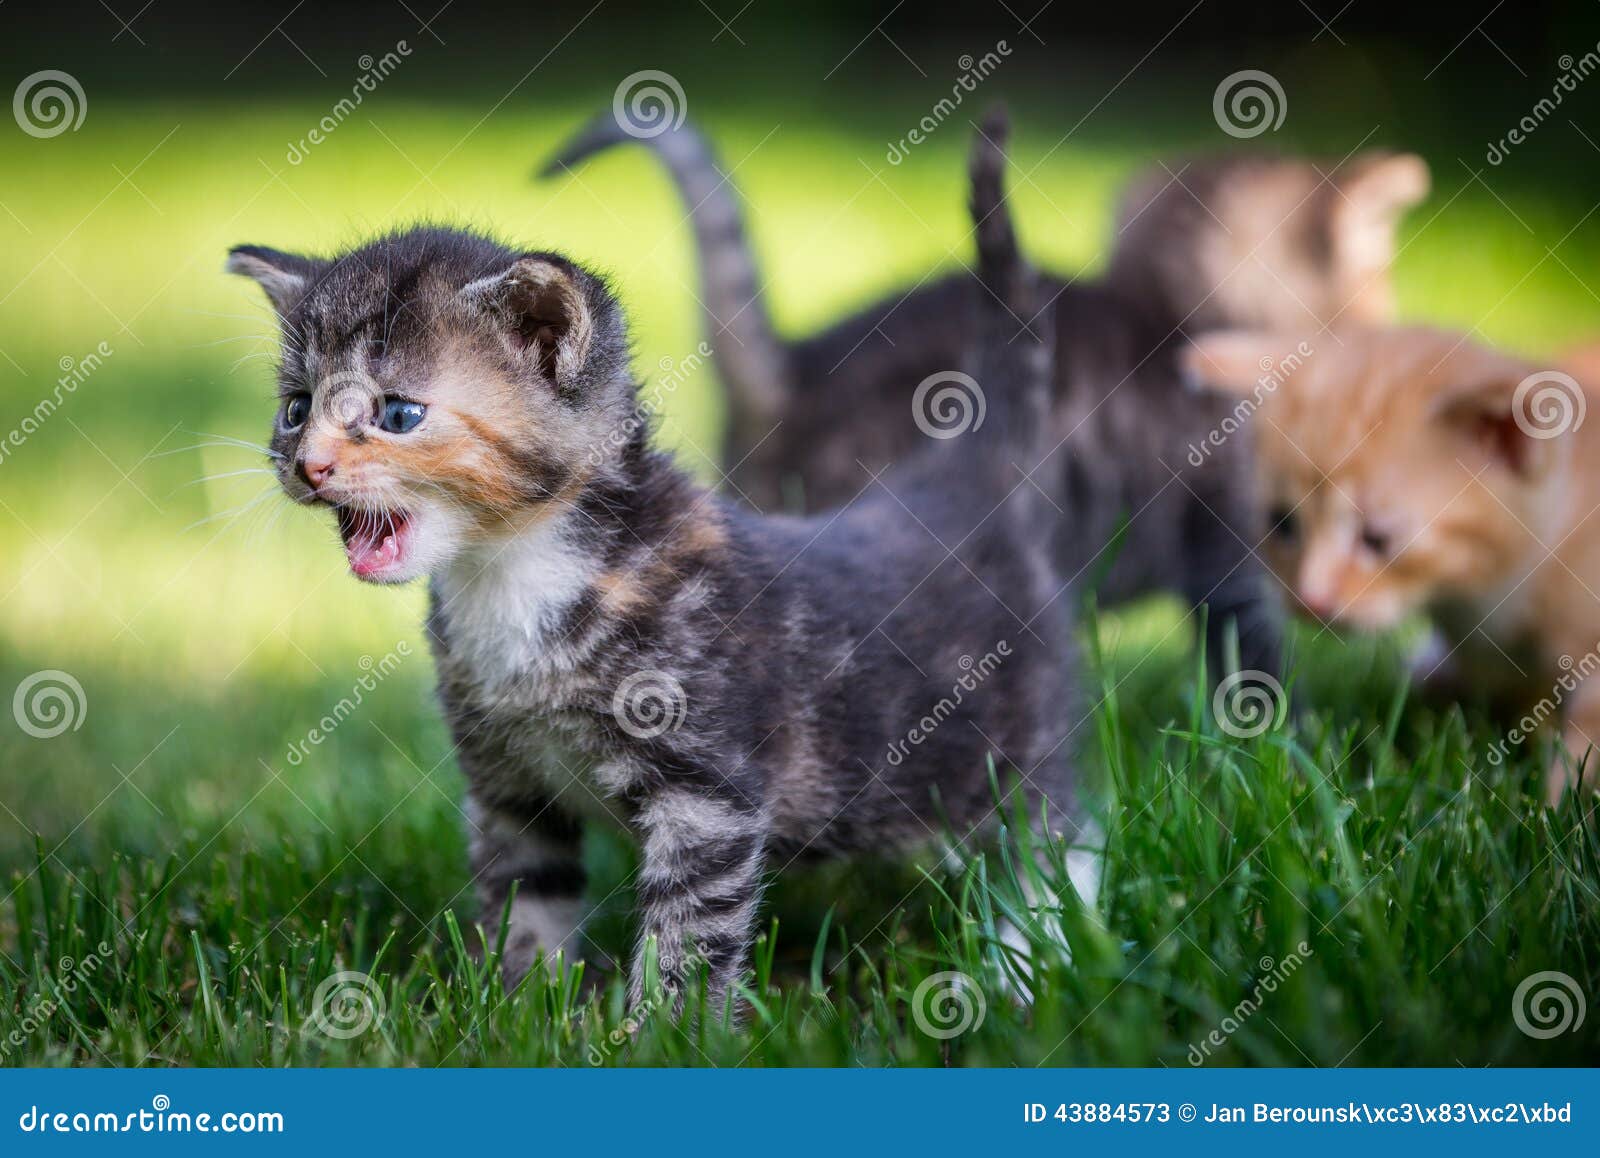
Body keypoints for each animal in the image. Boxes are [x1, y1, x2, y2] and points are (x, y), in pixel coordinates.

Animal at [228, 112, 1088, 1010]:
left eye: (398, 414)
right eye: (296, 409)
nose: (306, 465)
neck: (515, 573)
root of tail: (961, 471)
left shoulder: (706, 795)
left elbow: (689, 932)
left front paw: (663, 1027)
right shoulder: (509, 789)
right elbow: (525, 904)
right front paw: (523, 1007)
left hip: (1019, 738)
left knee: (1057, 843)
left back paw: (1037, 961)